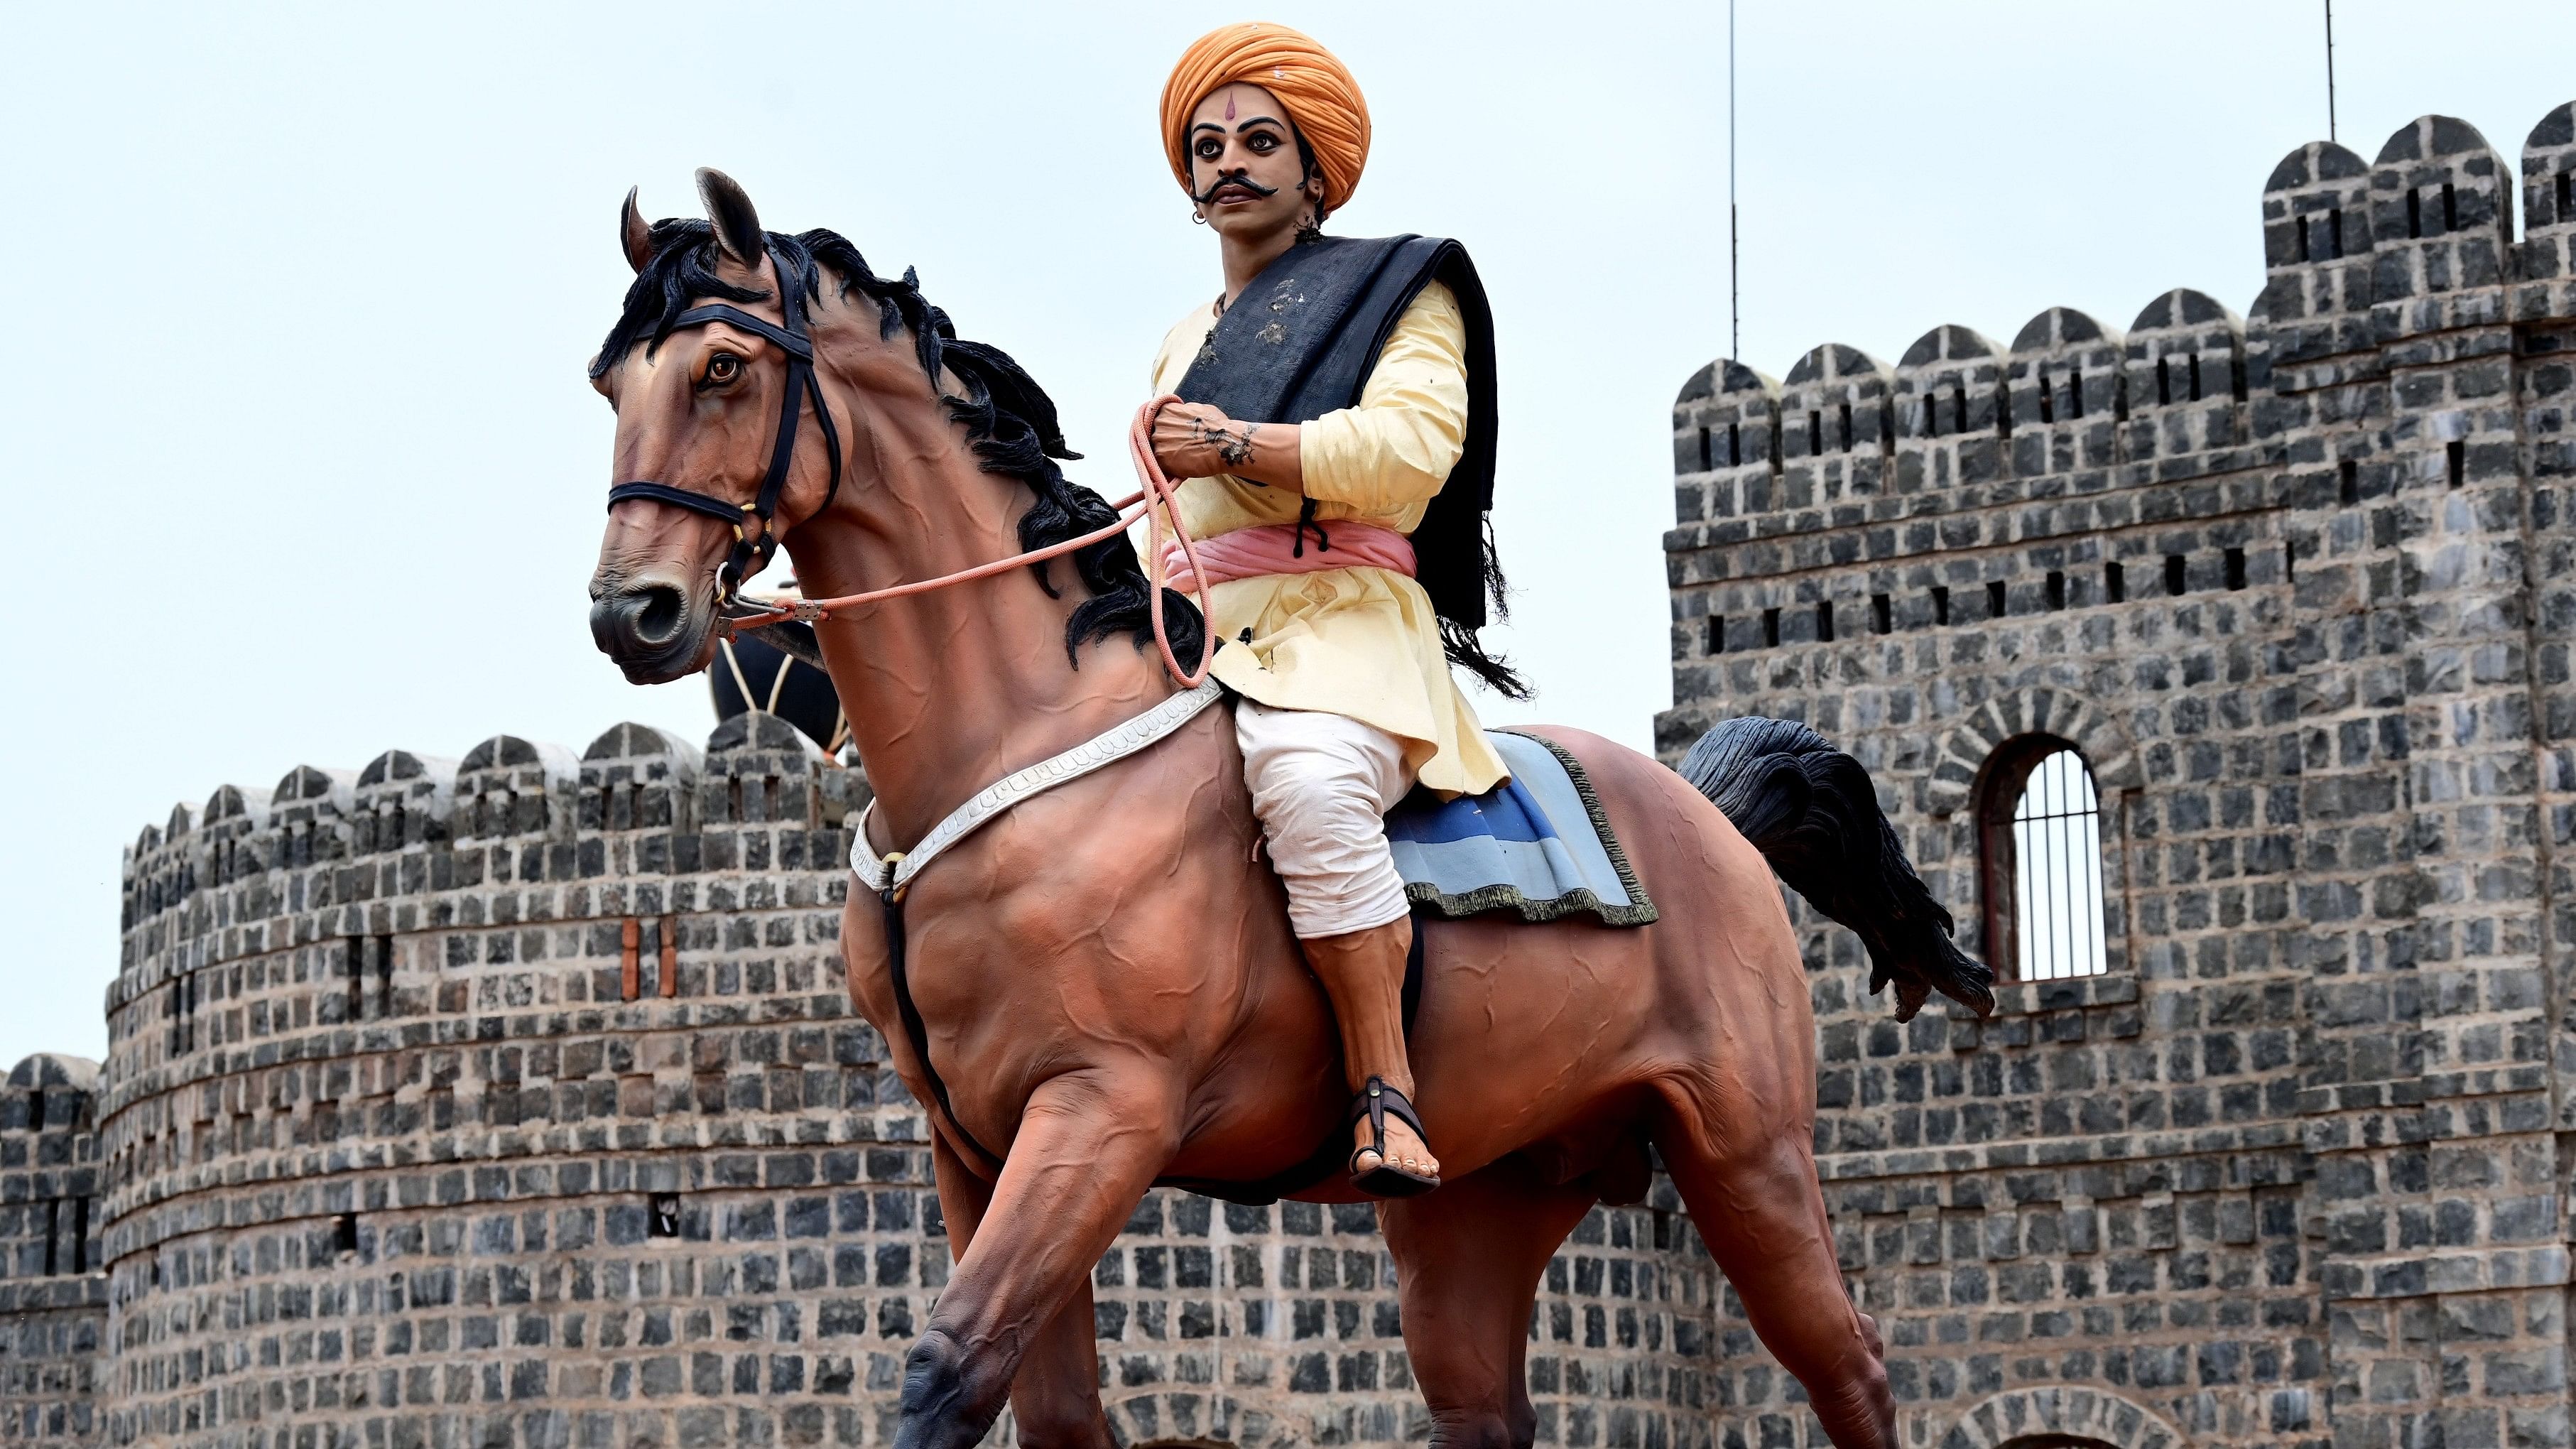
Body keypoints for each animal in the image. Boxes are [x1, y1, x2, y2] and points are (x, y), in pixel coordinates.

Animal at [589, 175, 1989, 1443]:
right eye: (614, 388)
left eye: (722, 369)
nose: (632, 613)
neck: (1014, 737)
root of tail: (1707, 816)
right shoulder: (973, 1148)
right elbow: (1050, 1409)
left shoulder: (1102, 1112)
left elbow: (946, 1373)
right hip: (1481, 1200)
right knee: (1484, 1405)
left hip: (1747, 1155)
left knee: (1849, 1367)